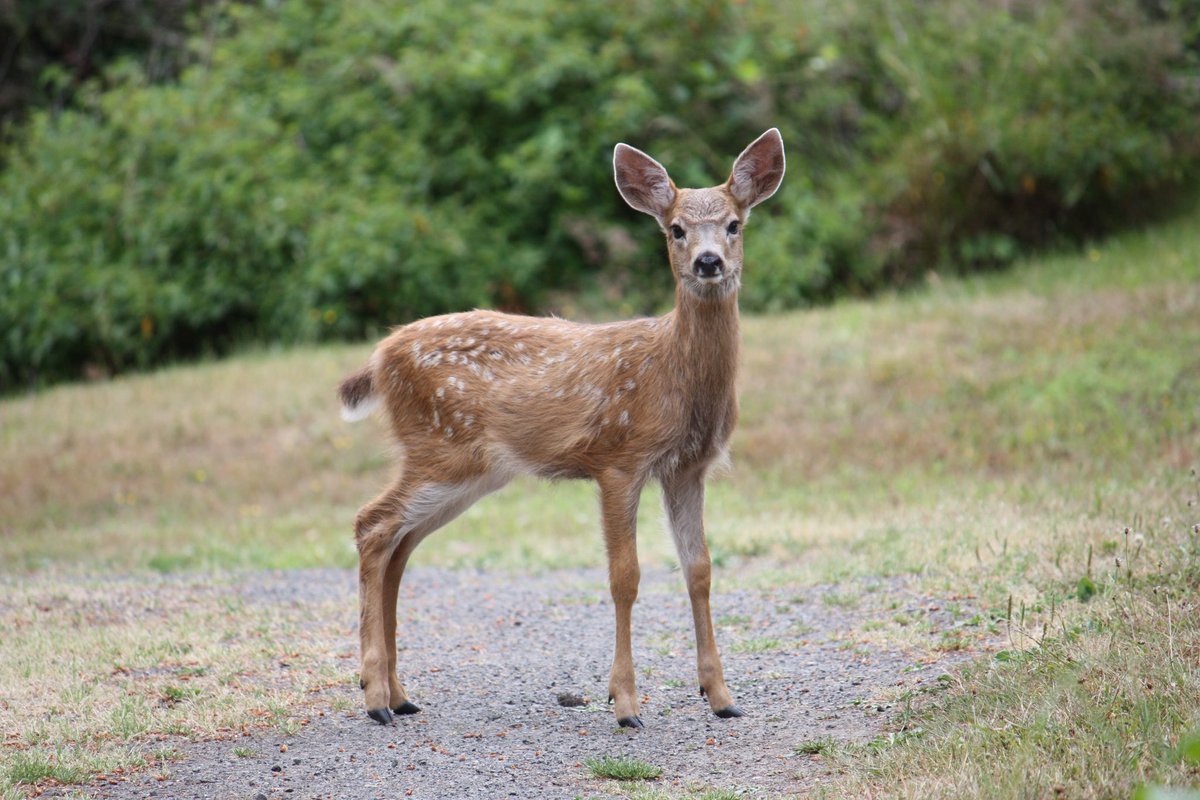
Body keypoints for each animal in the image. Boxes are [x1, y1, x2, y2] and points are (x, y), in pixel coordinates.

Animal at [338, 129, 785, 728]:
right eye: (676, 229)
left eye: (735, 223)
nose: (709, 261)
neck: (671, 371)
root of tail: (380, 355)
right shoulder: (619, 458)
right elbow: (626, 577)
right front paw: (625, 704)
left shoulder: (688, 468)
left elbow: (699, 569)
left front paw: (720, 696)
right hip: (441, 449)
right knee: (372, 525)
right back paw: (373, 698)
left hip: (469, 471)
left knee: (399, 546)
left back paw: (399, 694)